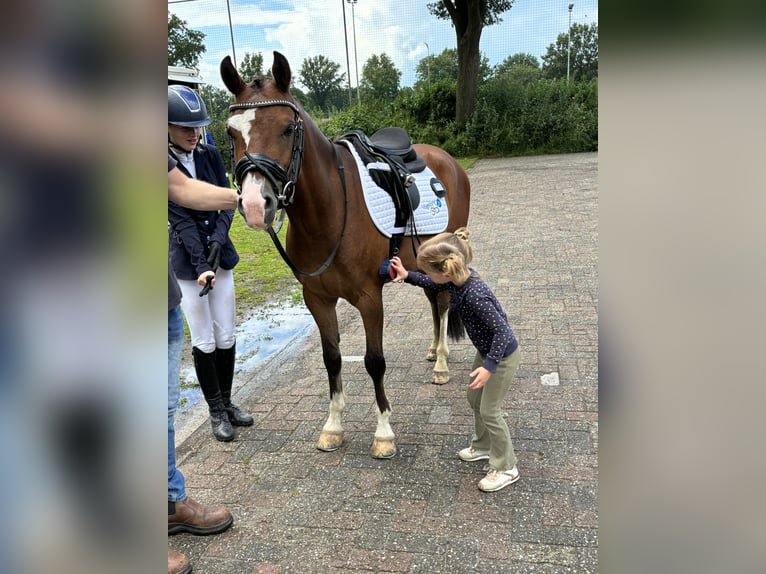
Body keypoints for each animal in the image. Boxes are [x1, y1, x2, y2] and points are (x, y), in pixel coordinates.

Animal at [222, 53, 472, 460]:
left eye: (288, 129)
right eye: (230, 132)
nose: (257, 205)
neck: (331, 210)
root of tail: (446, 160)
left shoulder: (370, 298)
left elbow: (374, 361)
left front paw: (384, 433)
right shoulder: (317, 299)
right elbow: (332, 359)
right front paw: (333, 427)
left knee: (445, 301)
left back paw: (442, 364)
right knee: (434, 302)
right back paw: (434, 351)